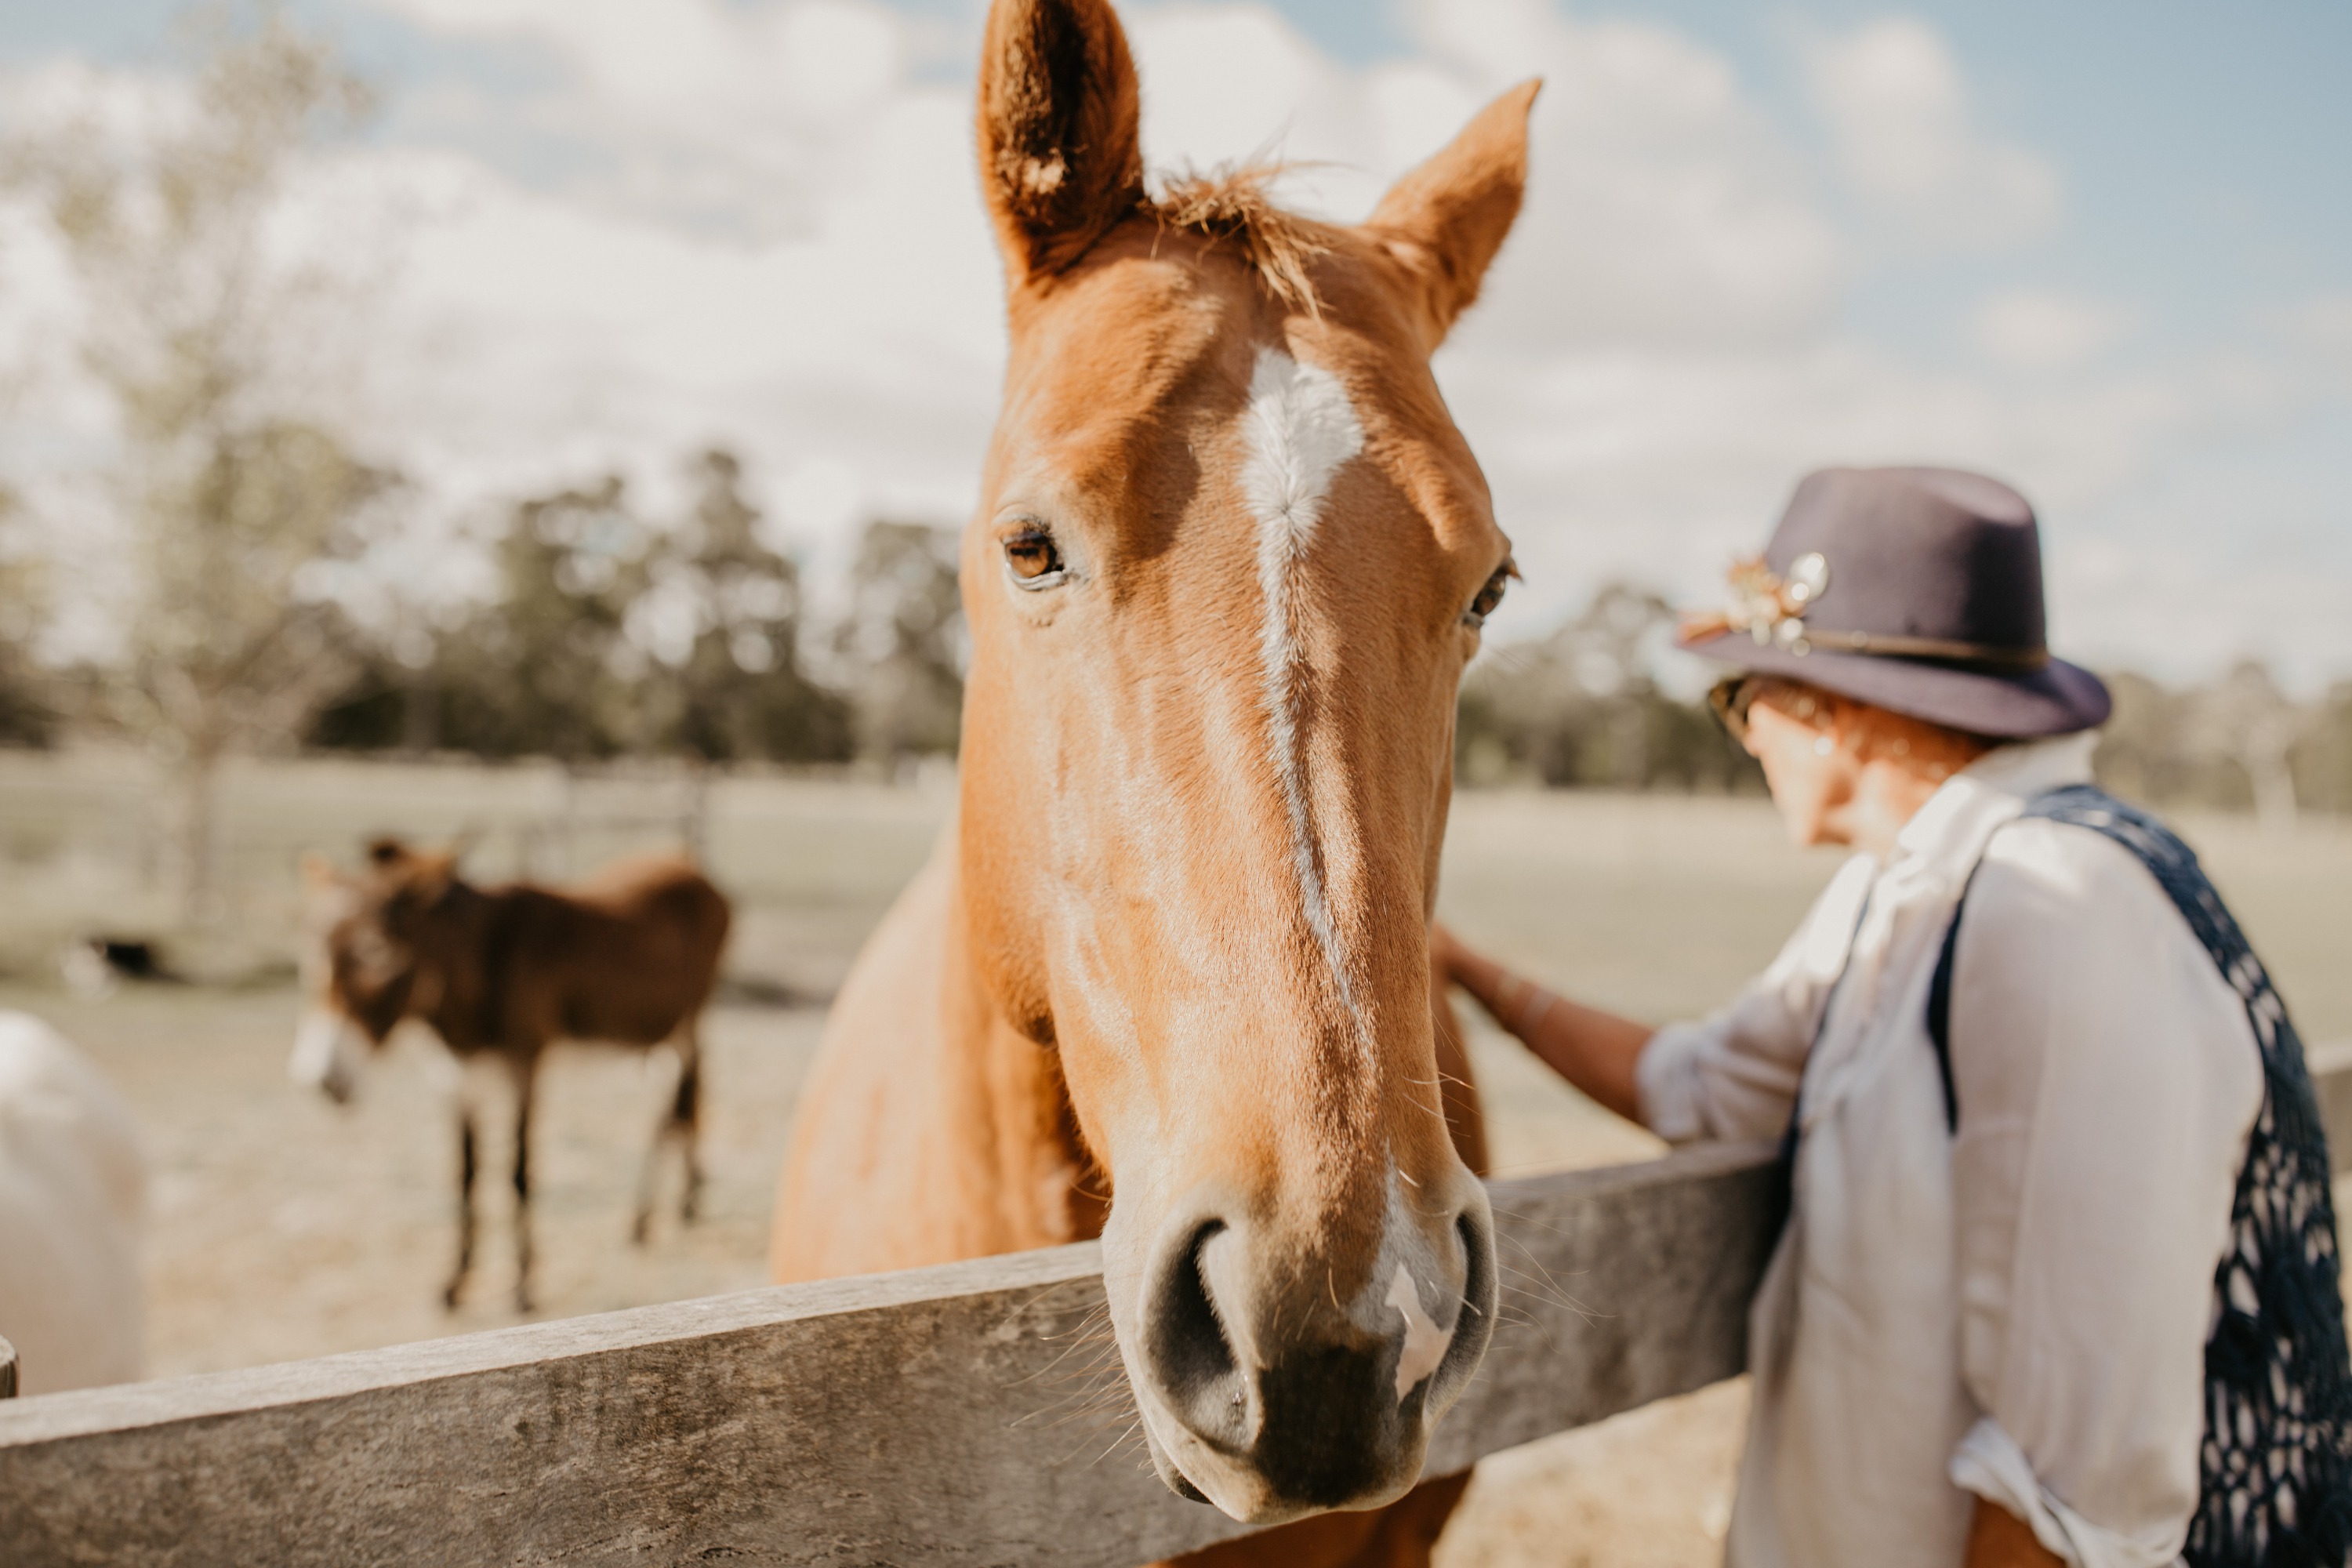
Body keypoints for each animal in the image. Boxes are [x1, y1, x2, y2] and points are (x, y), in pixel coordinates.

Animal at [299, 846, 729, 1316]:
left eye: (378, 954)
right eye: (315, 958)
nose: (320, 1079)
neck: (484, 963)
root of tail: (681, 859)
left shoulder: (526, 1067)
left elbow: (518, 1172)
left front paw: (523, 1286)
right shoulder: (459, 1077)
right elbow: (467, 1174)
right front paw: (456, 1282)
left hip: (686, 1023)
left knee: (679, 1102)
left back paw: (661, 1212)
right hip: (662, 1032)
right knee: (678, 1102)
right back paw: (665, 1211)